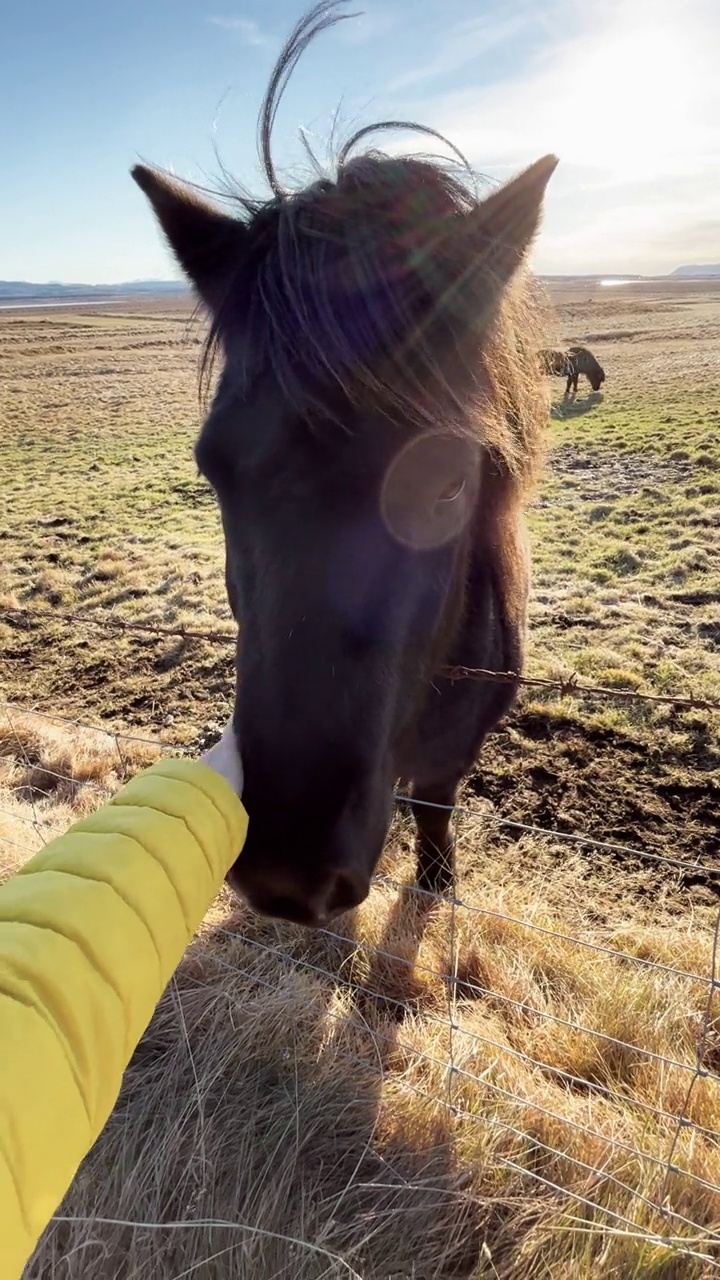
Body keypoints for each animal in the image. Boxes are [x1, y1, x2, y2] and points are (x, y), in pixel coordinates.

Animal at [131, 0, 550, 926]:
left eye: (452, 478)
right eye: (212, 468)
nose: (288, 872)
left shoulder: (452, 755)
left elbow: (433, 806)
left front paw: (437, 880)